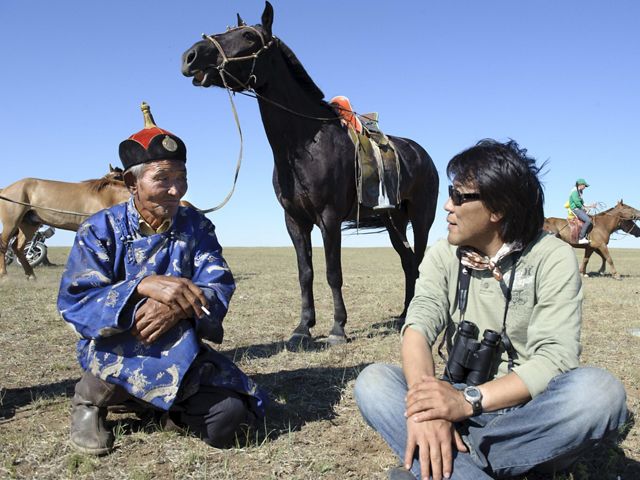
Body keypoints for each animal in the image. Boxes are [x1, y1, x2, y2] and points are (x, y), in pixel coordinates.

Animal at [0, 166, 130, 280]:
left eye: (117, 176)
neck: (106, 197)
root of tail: (5, 189)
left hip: (28, 225)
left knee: (17, 248)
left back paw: (31, 275)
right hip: (11, 223)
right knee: (4, 244)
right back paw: (4, 275)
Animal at [180, 0, 440, 344]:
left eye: (249, 36)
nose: (191, 56)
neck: (305, 143)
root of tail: (424, 155)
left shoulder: (329, 219)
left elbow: (333, 273)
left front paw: (338, 328)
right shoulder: (295, 221)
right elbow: (306, 273)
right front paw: (303, 327)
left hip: (421, 219)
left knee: (418, 260)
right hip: (394, 220)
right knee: (408, 261)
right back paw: (403, 313)